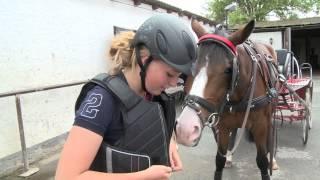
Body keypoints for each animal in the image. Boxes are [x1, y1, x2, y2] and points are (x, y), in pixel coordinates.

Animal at [176, 19, 278, 180]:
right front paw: (226, 158)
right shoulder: (223, 126)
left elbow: (262, 161)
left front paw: (268, 162)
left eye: (229, 69)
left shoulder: (260, 125)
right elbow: (219, 160)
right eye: (192, 66)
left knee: (271, 132)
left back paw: (272, 160)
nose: (185, 129)